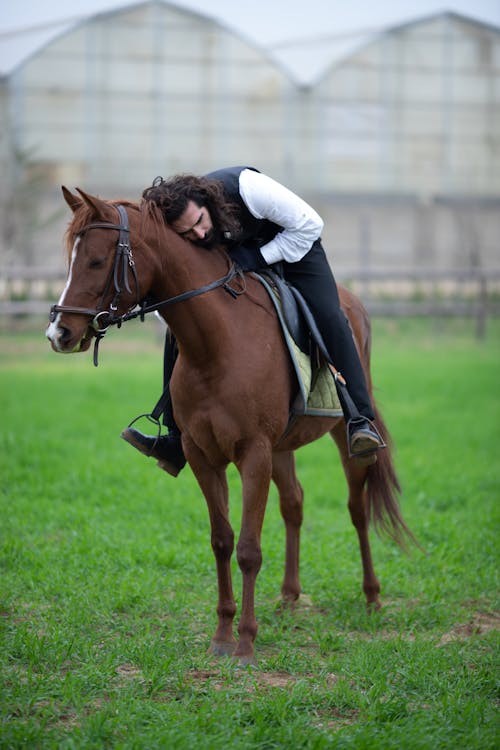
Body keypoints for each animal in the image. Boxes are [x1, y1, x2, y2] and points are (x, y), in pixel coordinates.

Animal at [47, 187, 414, 664]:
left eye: (94, 260)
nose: (58, 333)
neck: (217, 345)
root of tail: (352, 303)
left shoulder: (253, 454)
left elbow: (249, 550)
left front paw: (245, 642)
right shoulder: (205, 455)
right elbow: (222, 540)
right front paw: (222, 635)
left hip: (340, 437)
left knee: (356, 506)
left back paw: (371, 596)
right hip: (282, 448)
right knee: (294, 504)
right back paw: (289, 597)